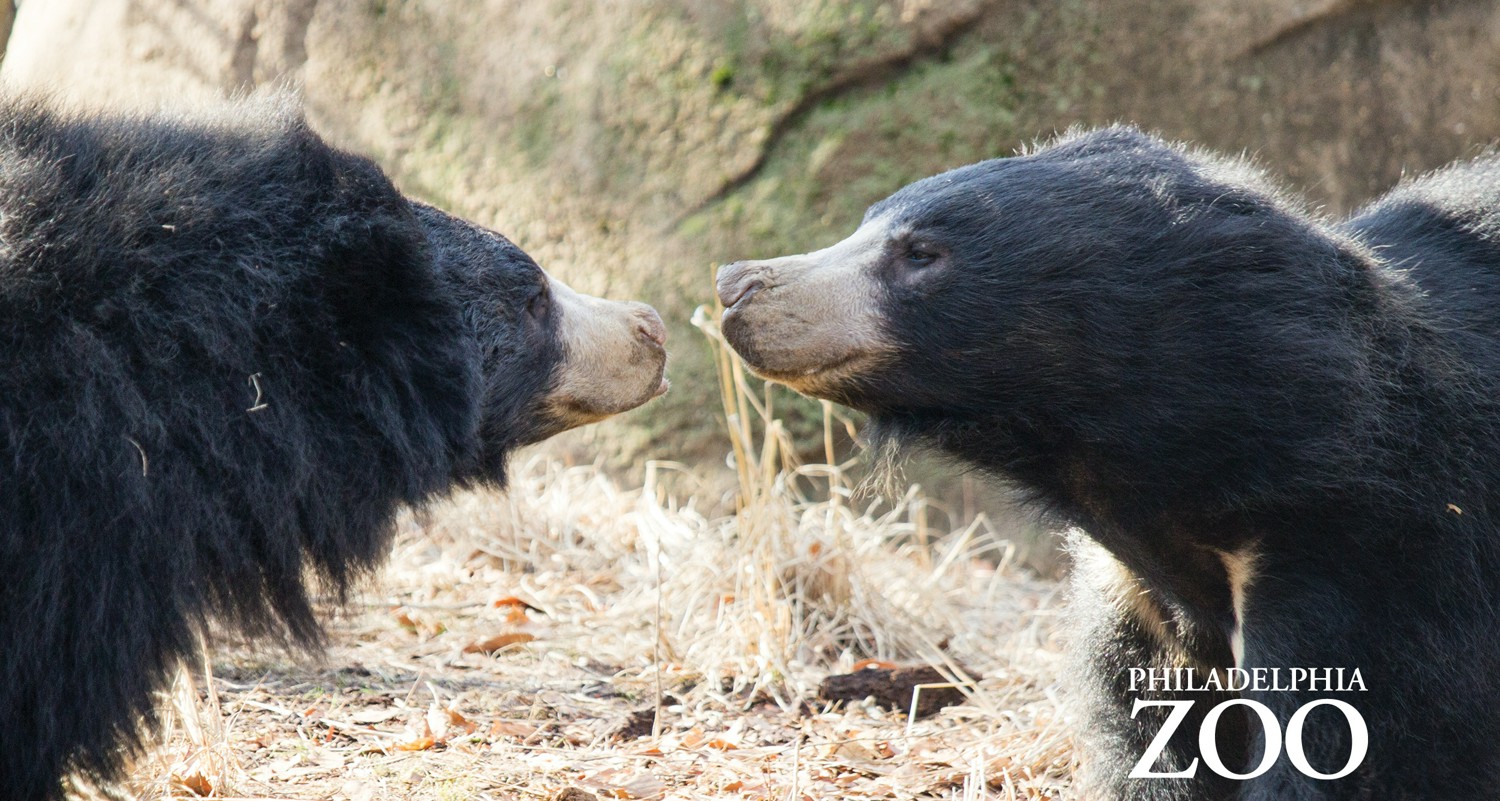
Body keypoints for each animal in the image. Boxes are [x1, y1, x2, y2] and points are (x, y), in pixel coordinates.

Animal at [714, 127, 1500, 801]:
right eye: (867, 223)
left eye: (922, 253)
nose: (737, 283)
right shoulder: (1139, 603)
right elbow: (1149, 736)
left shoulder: (1370, 554)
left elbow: (1363, 735)